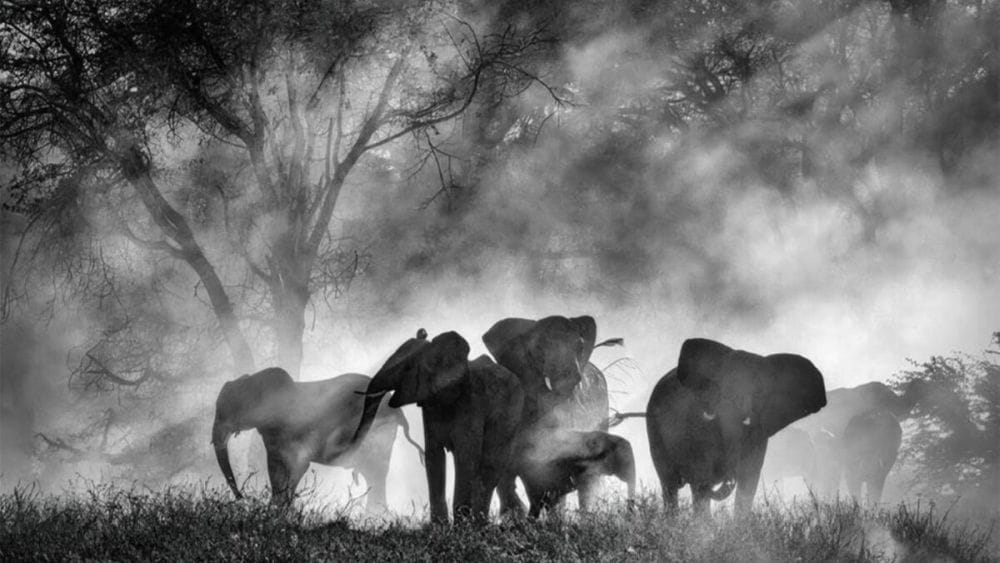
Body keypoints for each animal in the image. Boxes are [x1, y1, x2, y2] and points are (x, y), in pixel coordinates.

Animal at [211, 368, 423, 510]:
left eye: (227, 410)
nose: (243, 498)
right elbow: (277, 468)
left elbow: (296, 466)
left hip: (379, 433)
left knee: (376, 472)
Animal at [351, 329, 524, 524]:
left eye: (407, 368)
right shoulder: (430, 406)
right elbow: (433, 456)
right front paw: (439, 526)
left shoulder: (471, 402)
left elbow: (466, 456)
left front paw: (461, 526)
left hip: (511, 415)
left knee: (490, 467)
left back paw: (480, 524)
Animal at [647, 338, 827, 516]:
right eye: (719, 386)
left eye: (758, 391)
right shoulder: (696, 426)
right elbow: (701, 478)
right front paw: (703, 524)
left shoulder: (759, 432)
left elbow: (749, 480)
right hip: (654, 430)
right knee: (669, 484)